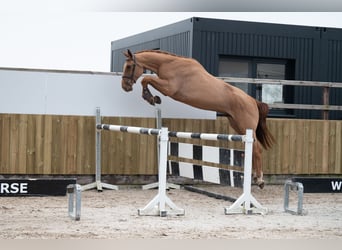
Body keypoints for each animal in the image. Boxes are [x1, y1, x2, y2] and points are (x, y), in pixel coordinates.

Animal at [121, 48, 274, 188]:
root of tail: (253, 101)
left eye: (129, 66)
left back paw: (260, 180)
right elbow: (147, 80)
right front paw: (153, 98)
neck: (169, 63)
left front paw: (151, 98)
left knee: (257, 148)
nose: (125, 87)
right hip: (236, 123)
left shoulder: (170, 88)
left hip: (245, 126)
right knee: (253, 148)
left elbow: (146, 79)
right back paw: (255, 177)